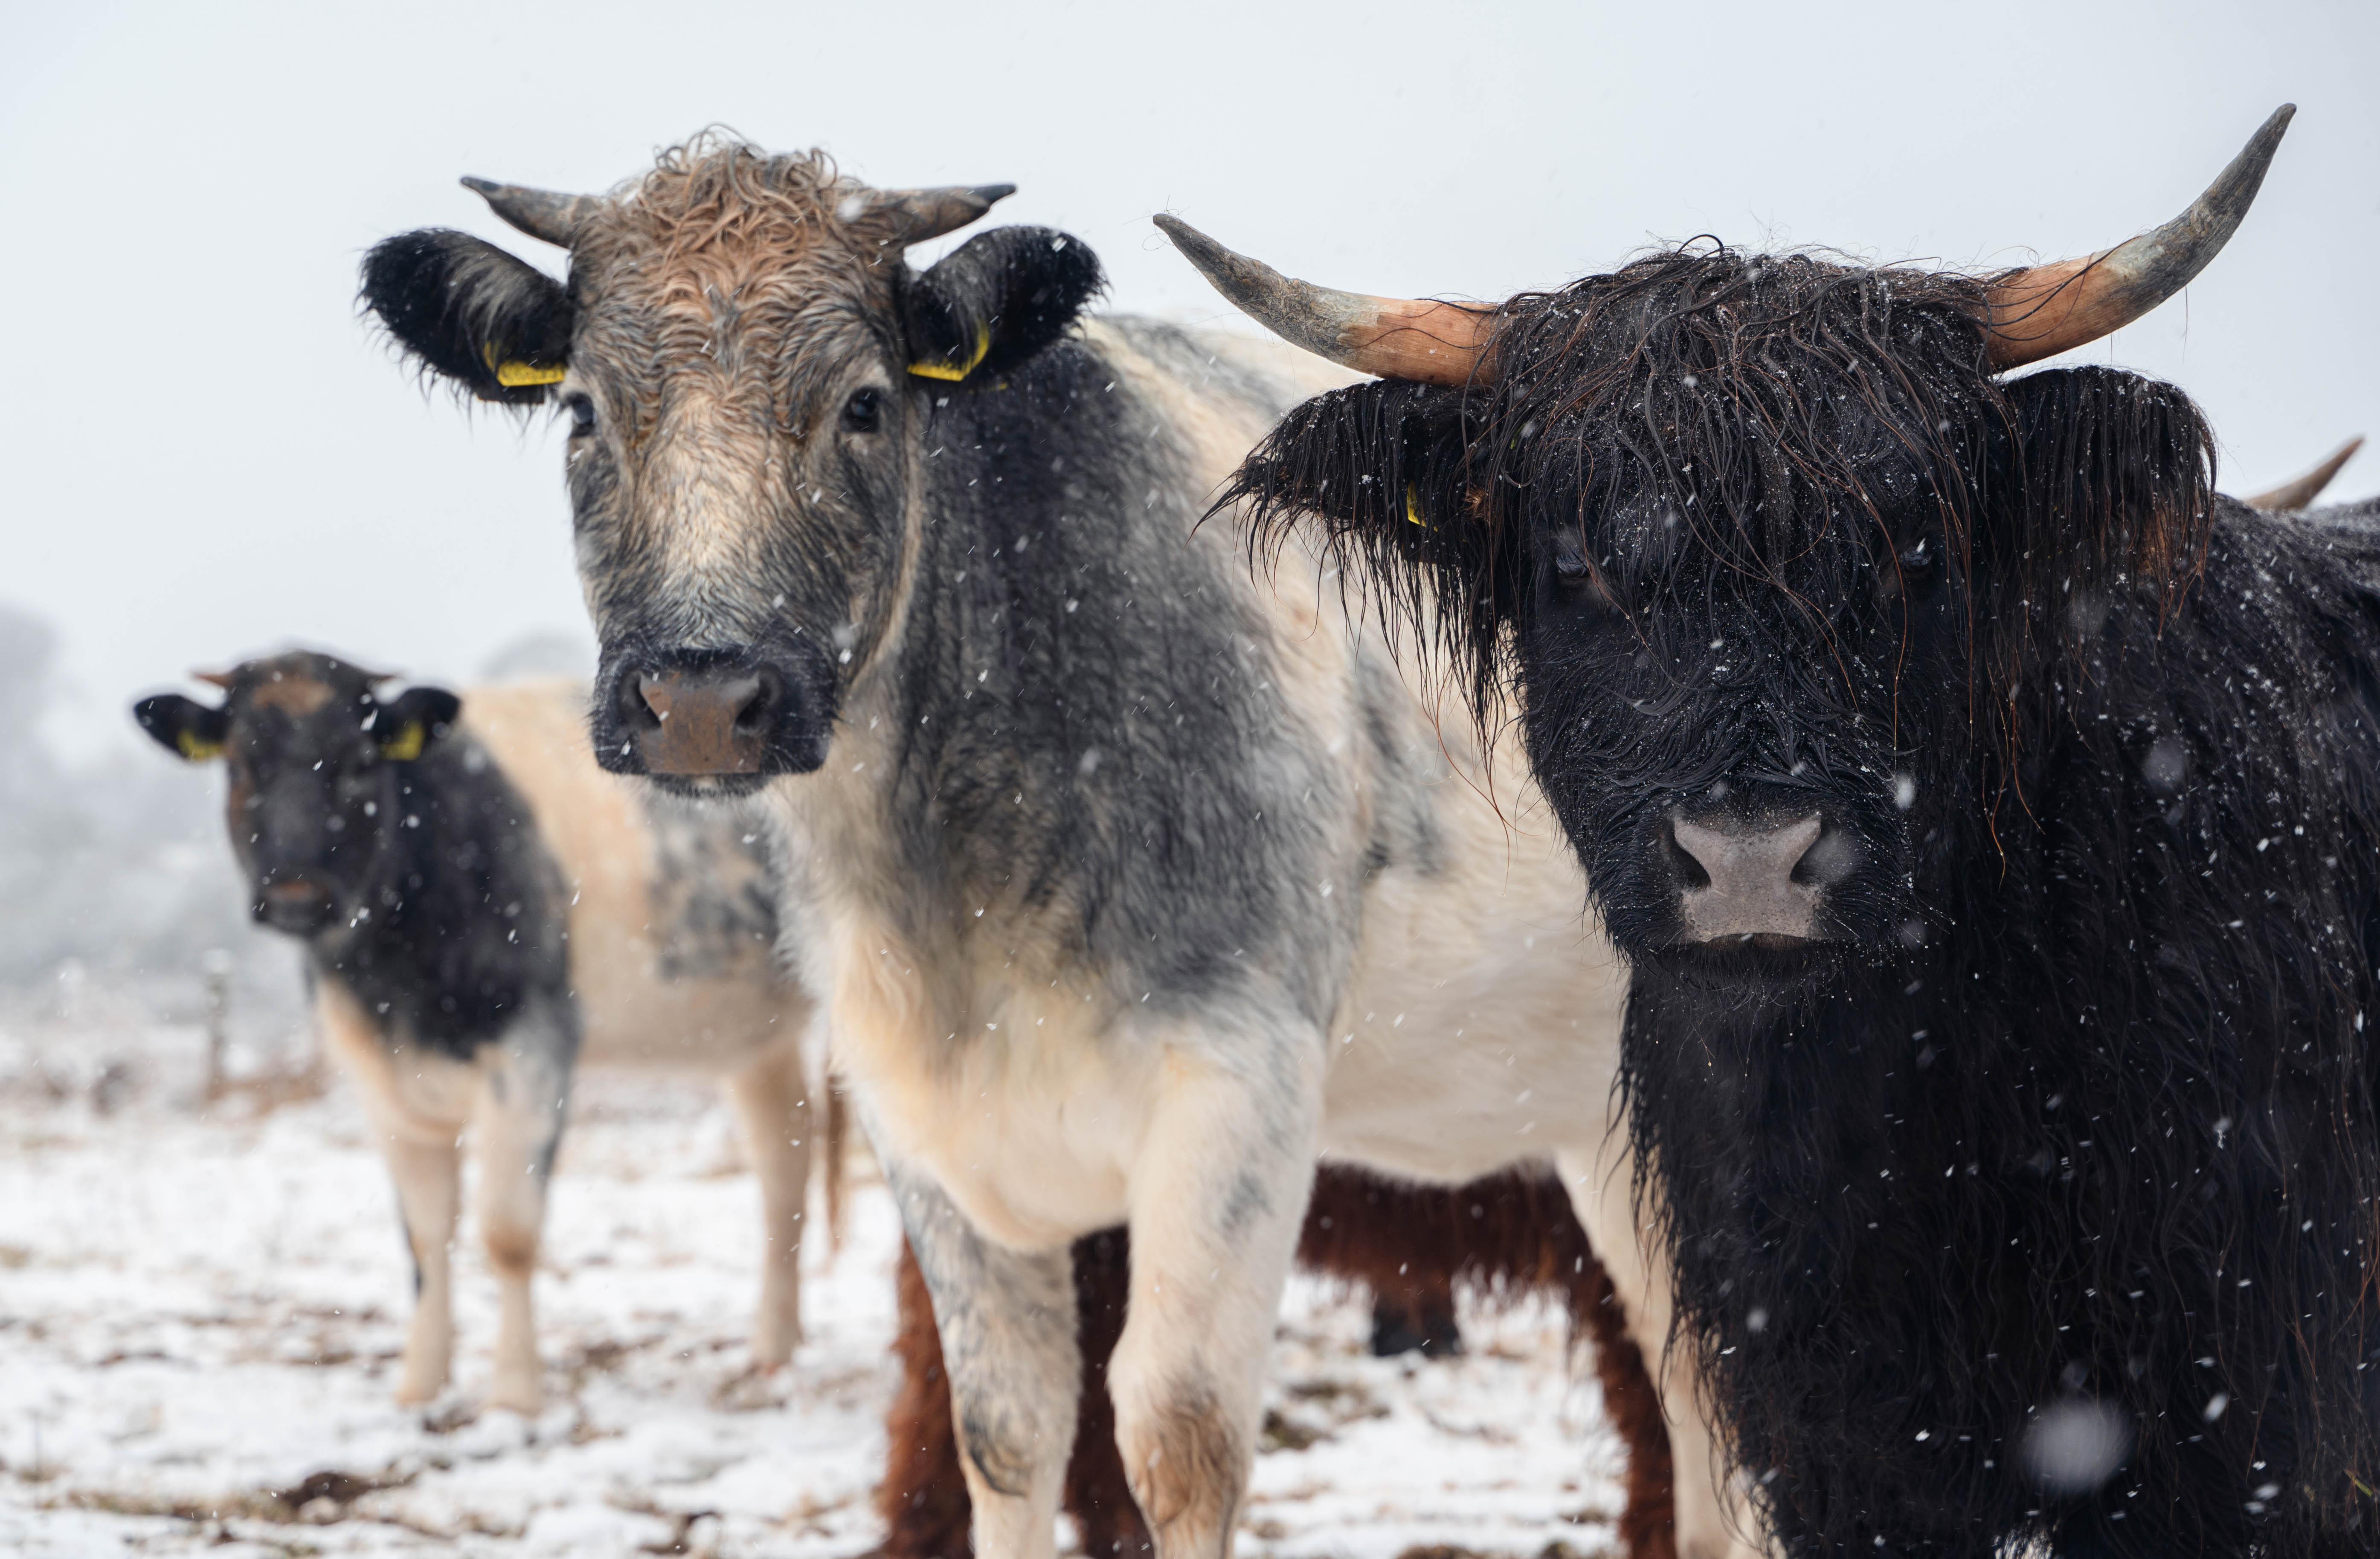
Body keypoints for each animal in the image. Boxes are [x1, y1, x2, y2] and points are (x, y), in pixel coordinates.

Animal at [135, 653, 830, 1414]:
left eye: (359, 763)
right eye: (239, 765)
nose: (295, 894)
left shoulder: (536, 1046)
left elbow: (508, 1231)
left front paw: (514, 1394)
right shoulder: (379, 1076)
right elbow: (423, 1234)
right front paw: (420, 1385)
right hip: (759, 1036)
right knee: (786, 1162)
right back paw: (775, 1347)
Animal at [356, 140, 1743, 1559]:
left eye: (865, 405)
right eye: (582, 411)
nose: (699, 694)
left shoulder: (1240, 1082)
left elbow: (1176, 1432)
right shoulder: (919, 1119)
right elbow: (1007, 1422)